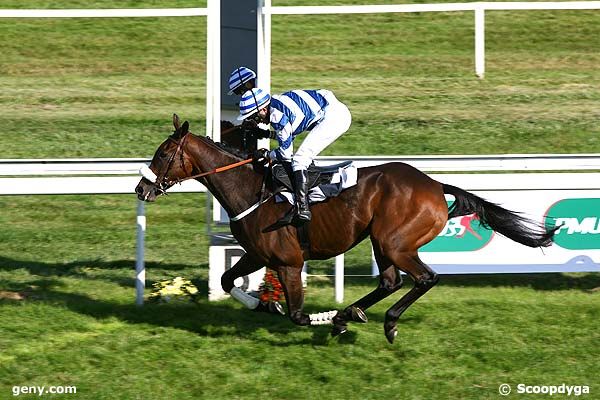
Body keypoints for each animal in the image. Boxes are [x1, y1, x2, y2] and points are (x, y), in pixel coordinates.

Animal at [136, 113, 556, 344]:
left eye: (162, 154)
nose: (141, 189)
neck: (252, 190)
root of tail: (435, 186)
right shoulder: (257, 254)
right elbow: (226, 281)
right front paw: (265, 303)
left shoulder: (289, 262)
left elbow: (298, 315)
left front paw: (317, 317)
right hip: (381, 242)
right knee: (389, 281)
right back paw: (350, 314)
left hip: (396, 241)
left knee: (425, 278)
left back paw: (379, 321)